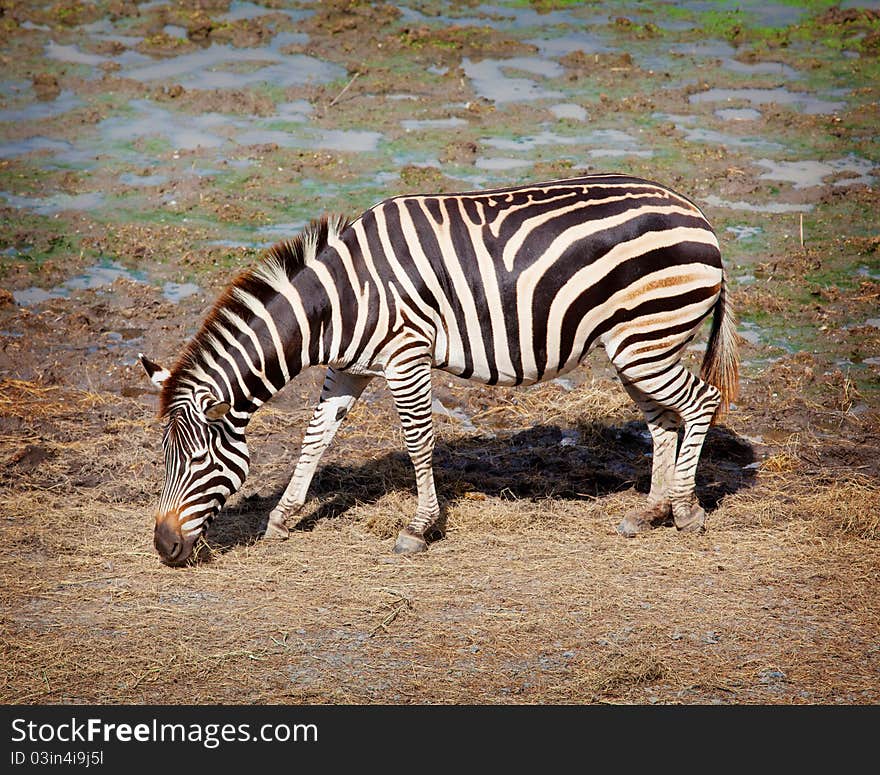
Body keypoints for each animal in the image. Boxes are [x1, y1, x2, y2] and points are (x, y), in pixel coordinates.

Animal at [139, 174, 736, 564]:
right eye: (164, 459)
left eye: (196, 462)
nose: (164, 547)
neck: (338, 302)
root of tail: (698, 215)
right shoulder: (350, 368)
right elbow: (315, 437)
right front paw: (282, 519)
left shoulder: (407, 355)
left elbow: (417, 441)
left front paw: (419, 528)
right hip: (635, 345)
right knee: (664, 420)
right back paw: (650, 512)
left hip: (645, 338)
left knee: (701, 402)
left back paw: (686, 511)